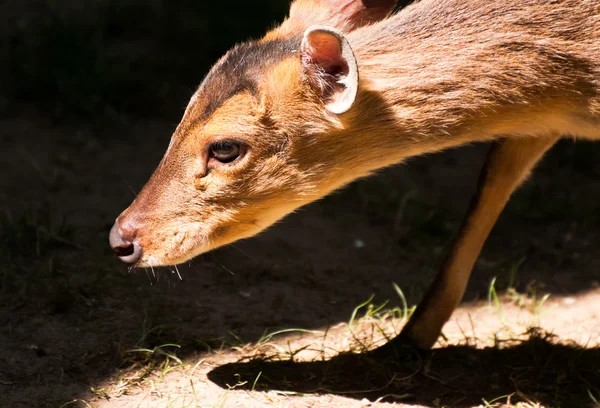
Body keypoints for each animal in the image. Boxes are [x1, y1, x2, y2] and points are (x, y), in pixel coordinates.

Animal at [109, 0, 600, 350]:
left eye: (226, 148)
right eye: (181, 119)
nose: (121, 239)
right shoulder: (539, 124)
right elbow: (489, 189)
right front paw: (403, 344)